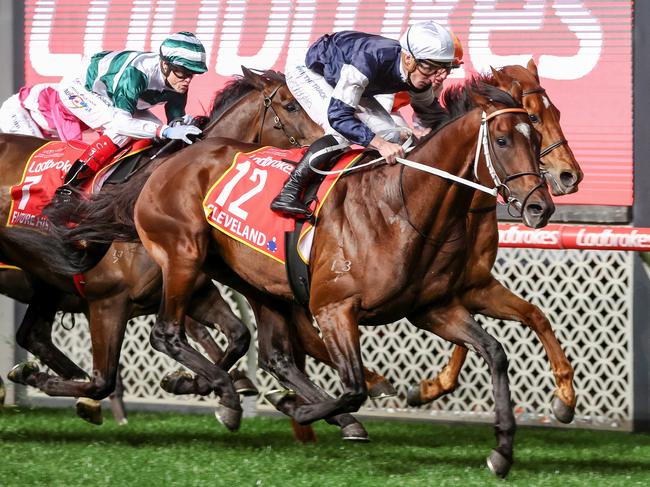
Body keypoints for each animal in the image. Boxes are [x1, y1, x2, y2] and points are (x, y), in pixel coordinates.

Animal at [117, 80, 552, 476]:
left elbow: (495, 352)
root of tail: (179, 156)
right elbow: (354, 388)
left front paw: (503, 450)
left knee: (269, 353)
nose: (540, 207)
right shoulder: (333, 308)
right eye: (502, 140)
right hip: (182, 256)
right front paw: (296, 407)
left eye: (535, 138)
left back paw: (211, 388)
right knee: (167, 333)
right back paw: (228, 392)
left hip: (253, 279)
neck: (400, 205)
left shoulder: (433, 309)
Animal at [404, 59, 584, 424]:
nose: (570, 175)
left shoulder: (471, 286)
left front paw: (565, 397)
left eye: (557, 112)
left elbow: (534, 315)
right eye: (533, 117)